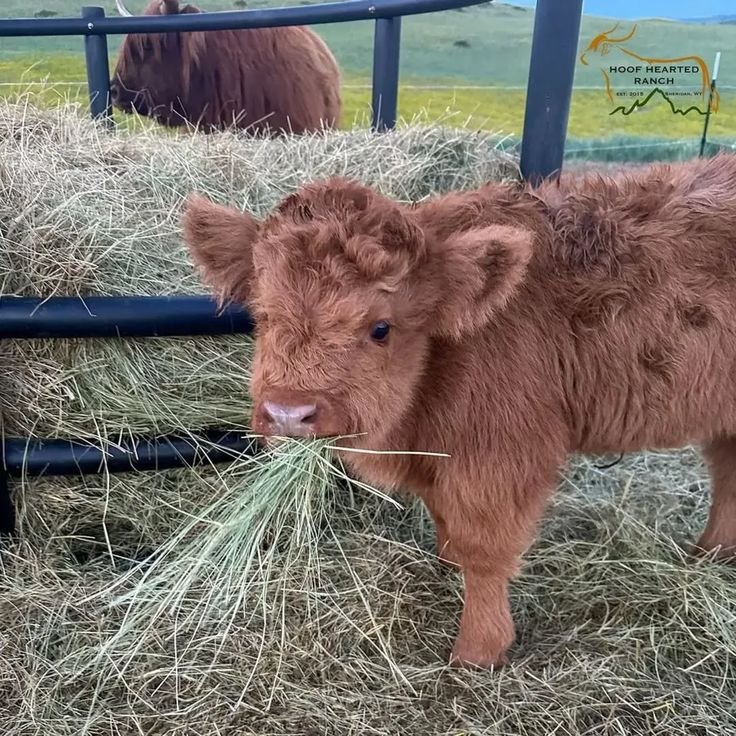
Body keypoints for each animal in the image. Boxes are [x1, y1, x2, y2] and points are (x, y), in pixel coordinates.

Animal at [181, 153, 736, 668]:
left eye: (380, 328)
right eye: (262, 316)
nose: (288, 412)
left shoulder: (498, 459)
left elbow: (484, 552)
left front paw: (478, 651)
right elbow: (446, 523)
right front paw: (446, 565)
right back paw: (711, 555)